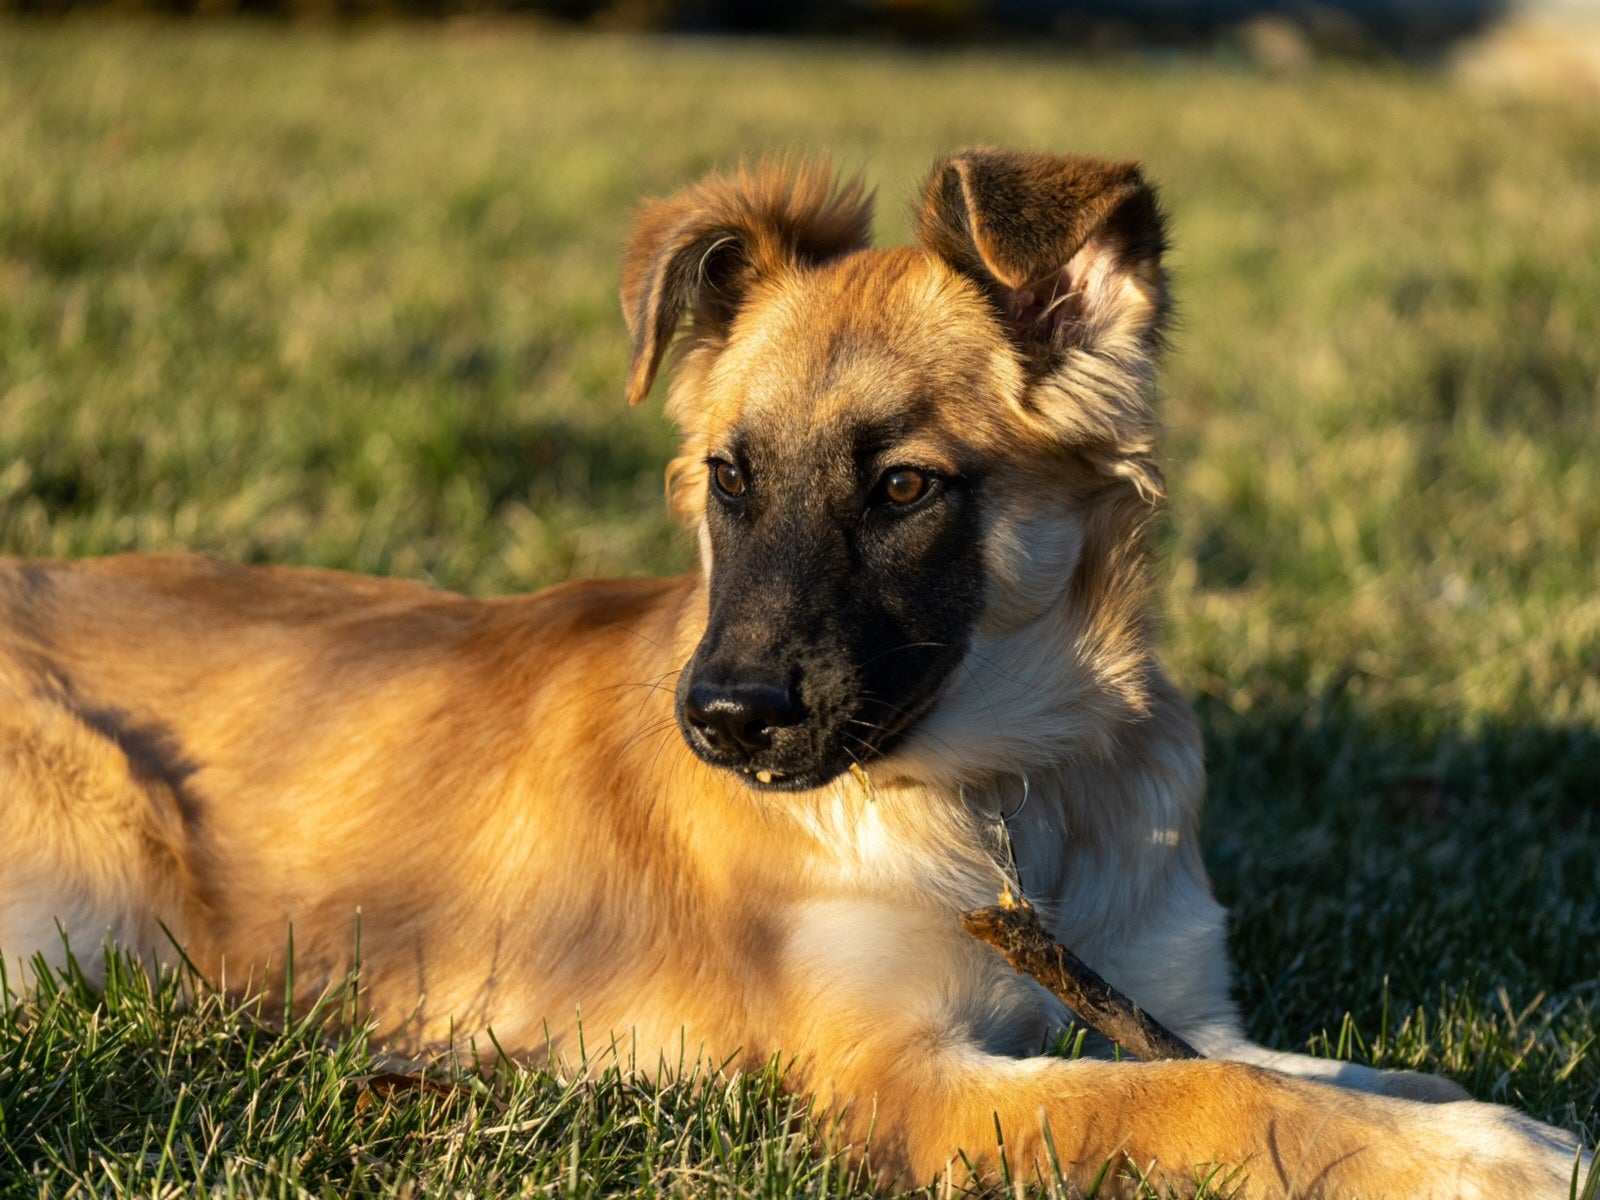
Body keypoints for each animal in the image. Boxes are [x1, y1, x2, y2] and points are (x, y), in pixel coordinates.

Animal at [3, 152, 1587, 1200]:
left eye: (903, 487)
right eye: (728, 478)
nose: (721, 721)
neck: (1009, 789)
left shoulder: (1154, 993)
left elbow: (1287, 1069)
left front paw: (1462, 1117)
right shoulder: (896, 1083)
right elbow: (1201, 1105)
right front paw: (1484, 1157)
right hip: (98, 886)